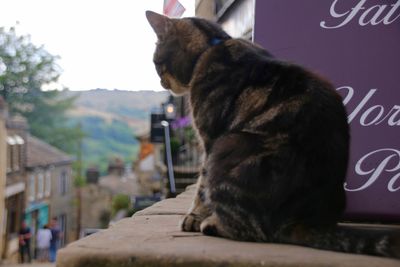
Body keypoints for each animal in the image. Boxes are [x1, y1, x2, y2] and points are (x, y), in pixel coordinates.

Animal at [146, 11, 400, 260]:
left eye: (156, 62)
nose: (160, 81)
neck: (210, 47)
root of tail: (305, 219)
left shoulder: (210, 140)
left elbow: (201, 186)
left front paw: (194, 216)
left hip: (227, 145)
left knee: (252, 230)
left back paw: (212, 224)